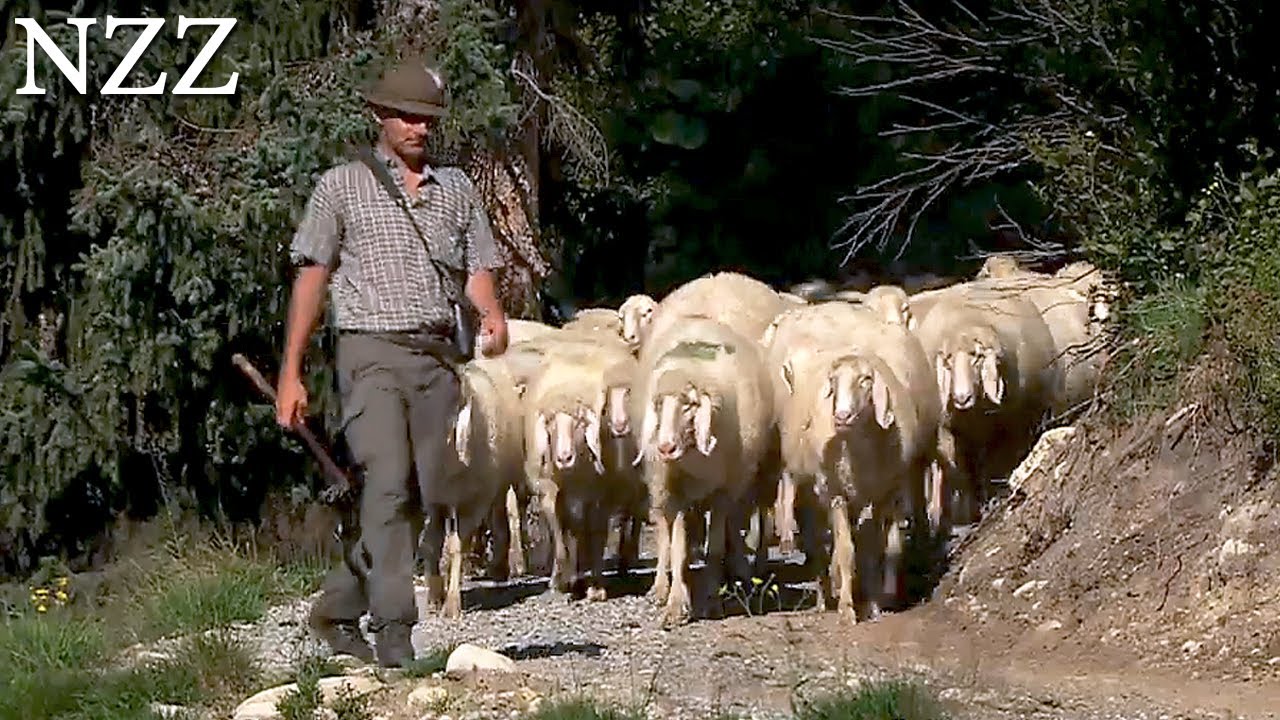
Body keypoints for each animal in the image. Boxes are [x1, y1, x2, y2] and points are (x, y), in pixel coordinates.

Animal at [632, 316, 773, 625]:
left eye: (690, 405)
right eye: (658, 405)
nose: (665, 448)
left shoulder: (724, 492)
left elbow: (715, 546)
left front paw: (710, 598)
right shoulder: (676, 492)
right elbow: (677, 547)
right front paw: (676, 604)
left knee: (731, 528)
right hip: (660, 486)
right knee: (663, 533)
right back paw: (660, 587)